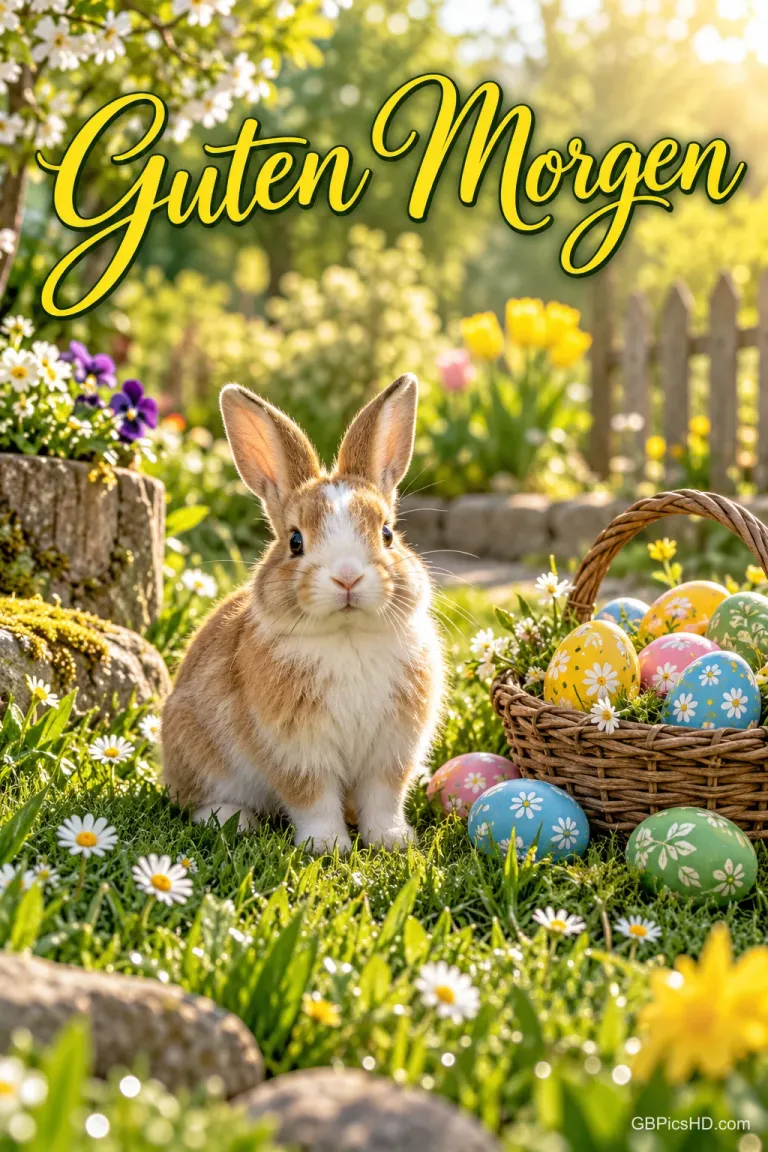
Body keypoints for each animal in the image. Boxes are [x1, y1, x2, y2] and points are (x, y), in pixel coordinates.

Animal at [161, 373, 445, 854]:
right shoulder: (296, 750)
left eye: (388, 533)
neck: (347, 636)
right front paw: (327, 847)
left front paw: (391, 841)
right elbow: (312, 797)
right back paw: (232, 820)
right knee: (195, 801)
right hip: (196, 752)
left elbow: (383, 797)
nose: (347, 576)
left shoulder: (392, 751)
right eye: (295, 541)